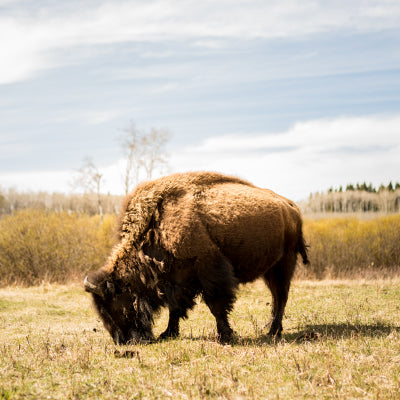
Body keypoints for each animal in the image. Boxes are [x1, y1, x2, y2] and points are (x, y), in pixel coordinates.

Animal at [85, 172, 310, 344]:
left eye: (112, 304)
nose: (122, 341)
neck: (156, 228)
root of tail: (291, 207)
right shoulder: (176, 280)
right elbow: (175, 308)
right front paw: (168, 333)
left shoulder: (209, 270)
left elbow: (215, 305)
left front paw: (225, 336)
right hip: (270, 270)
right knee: (276, 297)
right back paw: (270, 328)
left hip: (284, 265)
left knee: (280, 296)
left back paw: (272, 331)